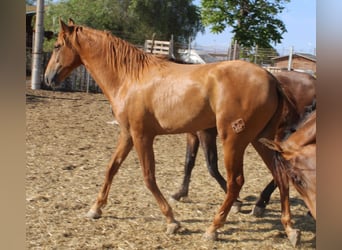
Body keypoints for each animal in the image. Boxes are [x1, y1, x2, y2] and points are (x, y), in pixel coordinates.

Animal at [44, 19, 300, 246]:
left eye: (57, 46)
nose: (48, 77)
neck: (130, 78)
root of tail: (271, 78)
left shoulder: (142, 136)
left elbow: (148, 177)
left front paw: (172, 221)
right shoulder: (127, 135)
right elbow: (111, 169)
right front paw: (95, 209)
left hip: (234, 139)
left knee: (236, 182)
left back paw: (214, 228)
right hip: (260, 140)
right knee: (281, 176)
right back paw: (289, 229)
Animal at [172, 71, 316, 217]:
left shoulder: (206, 134)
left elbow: (212, 167)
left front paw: (235, 202)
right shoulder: (192, 134)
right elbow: (189, 162)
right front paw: (180, 193)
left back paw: (261, 203)